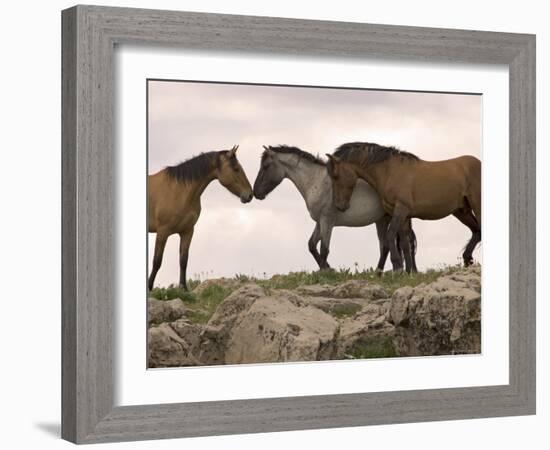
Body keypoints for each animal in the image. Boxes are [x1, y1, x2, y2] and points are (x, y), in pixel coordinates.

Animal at [150, 146, 256, 290]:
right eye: (236, 169)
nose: (250, 195)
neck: (178, 190)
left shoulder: (187, 231)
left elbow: (183, 260)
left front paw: (184, 289)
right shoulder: (162, 231)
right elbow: (157, 261)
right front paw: (149, 287)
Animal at [254, 145, 418, 270]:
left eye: (265, 166)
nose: (256, 192)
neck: (317, 182)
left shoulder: (327, 220)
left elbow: (324, 249)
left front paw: (325, 271)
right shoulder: (320, 221)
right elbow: (312, 245)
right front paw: (328, 268)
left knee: (402, 244)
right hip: (383, 220)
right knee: (390, 246)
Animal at [328, 142, 484, 272]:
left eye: (335, 176)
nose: (340, 205)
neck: (389, 171)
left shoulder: (401, 209)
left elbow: (390, 234)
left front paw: (398, 266)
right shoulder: (403, 215)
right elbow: (404, 243)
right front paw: (409, 271)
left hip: (477, 205)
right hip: (461, 211)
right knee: (477, 231)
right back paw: (467, 259)